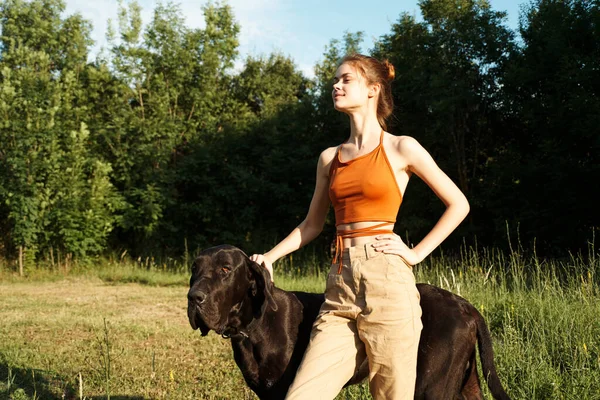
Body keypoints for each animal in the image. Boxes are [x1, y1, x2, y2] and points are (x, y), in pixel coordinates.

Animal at [186, 245, 506, 398]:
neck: (252, 328)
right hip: (465, 382)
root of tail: (466, 305)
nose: (193, 297)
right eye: (194, 268)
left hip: (431, 386)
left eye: (225, 269)